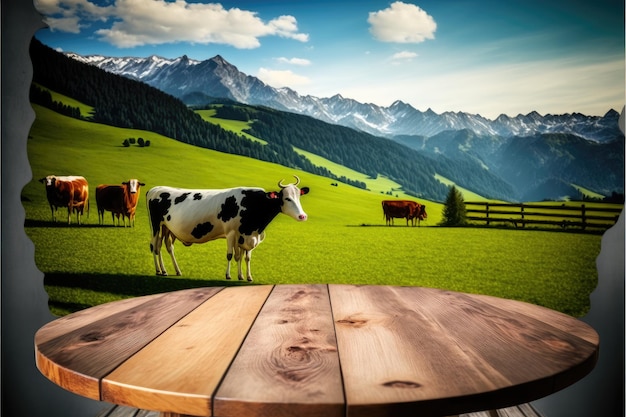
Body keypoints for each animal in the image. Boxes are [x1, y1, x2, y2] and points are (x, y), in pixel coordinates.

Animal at [144, 174, 310, 282]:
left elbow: (244, 257)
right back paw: (160, 271)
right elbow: (231, 255)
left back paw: (172, 271)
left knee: (166, 246)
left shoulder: (246, 236)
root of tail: (155, 188)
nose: (303, 216)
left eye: (298, 197)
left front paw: (245, 277)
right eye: (287, 198)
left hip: (167, 228)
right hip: (155, 225)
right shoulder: (231, 233)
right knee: (154, 246)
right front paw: (228, 275)